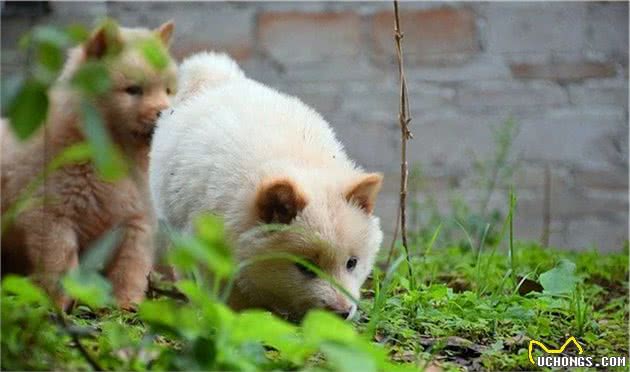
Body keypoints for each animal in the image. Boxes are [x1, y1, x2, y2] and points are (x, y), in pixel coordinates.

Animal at [1, 20, 178, 308]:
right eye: (133, 90)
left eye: (168, 90)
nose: (165, 112)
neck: (115, 155)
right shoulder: (52, 214)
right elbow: (60, 267)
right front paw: (58, 307)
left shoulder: (136, 218)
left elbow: (131, 267)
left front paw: (127, 307)